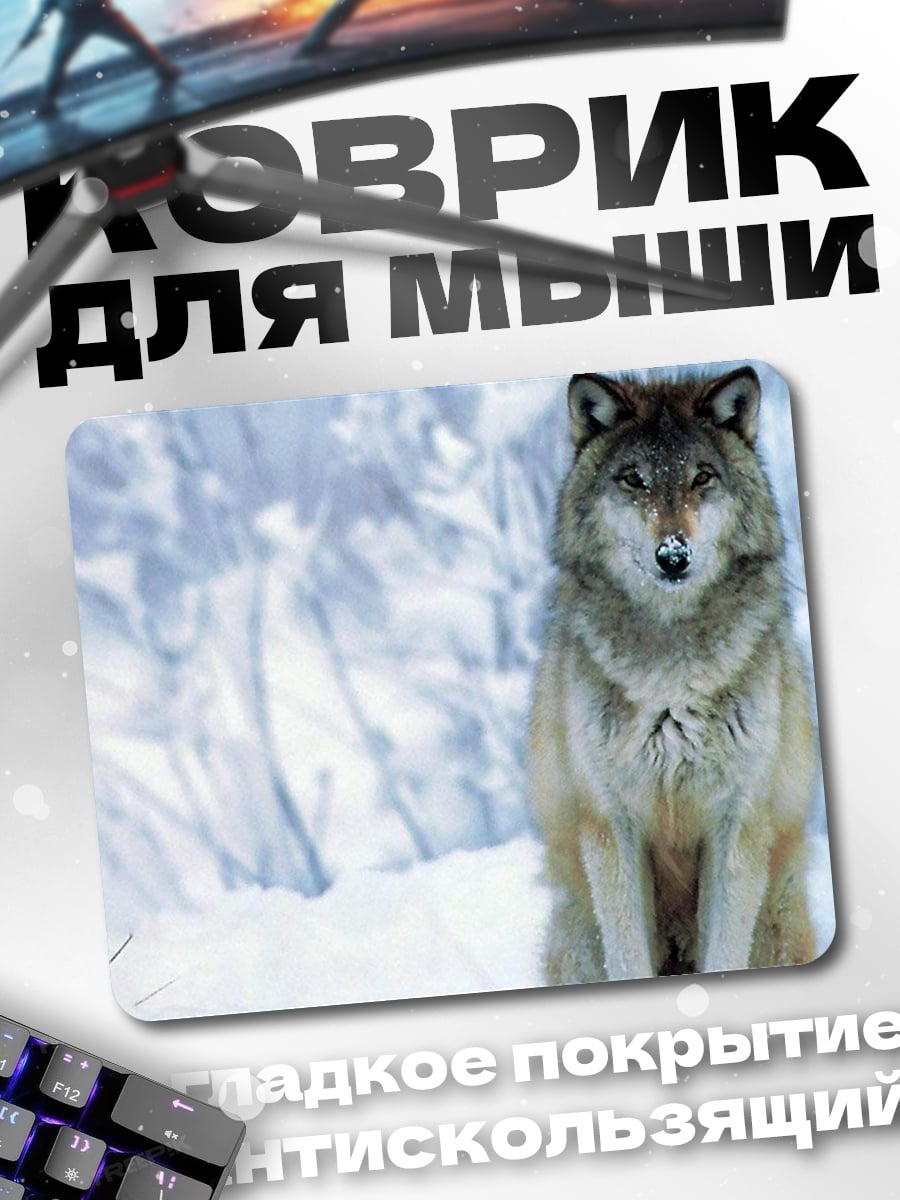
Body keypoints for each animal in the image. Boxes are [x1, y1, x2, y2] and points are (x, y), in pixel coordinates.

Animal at [529, 365, 818, 983]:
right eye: (634, 480)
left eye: (700, 477)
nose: (673, 556)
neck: (670, 678)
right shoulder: (611, 825)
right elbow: (628, 957)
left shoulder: (736, 824)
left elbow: (725, 951)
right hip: (578, 933)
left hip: (777, 920)